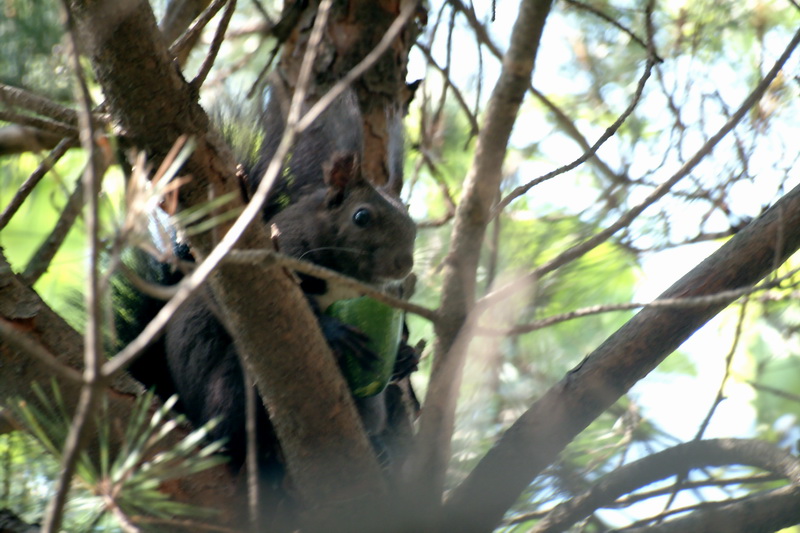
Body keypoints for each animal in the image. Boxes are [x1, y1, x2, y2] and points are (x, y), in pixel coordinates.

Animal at [116, 86, 422, 502]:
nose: (404, 265)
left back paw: (378, 449)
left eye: (412, 224)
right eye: (361, 216)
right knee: (231, 429)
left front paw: (405, 357)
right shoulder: (278, 257)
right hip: (230, 389)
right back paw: (259, 457)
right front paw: (333, 331)